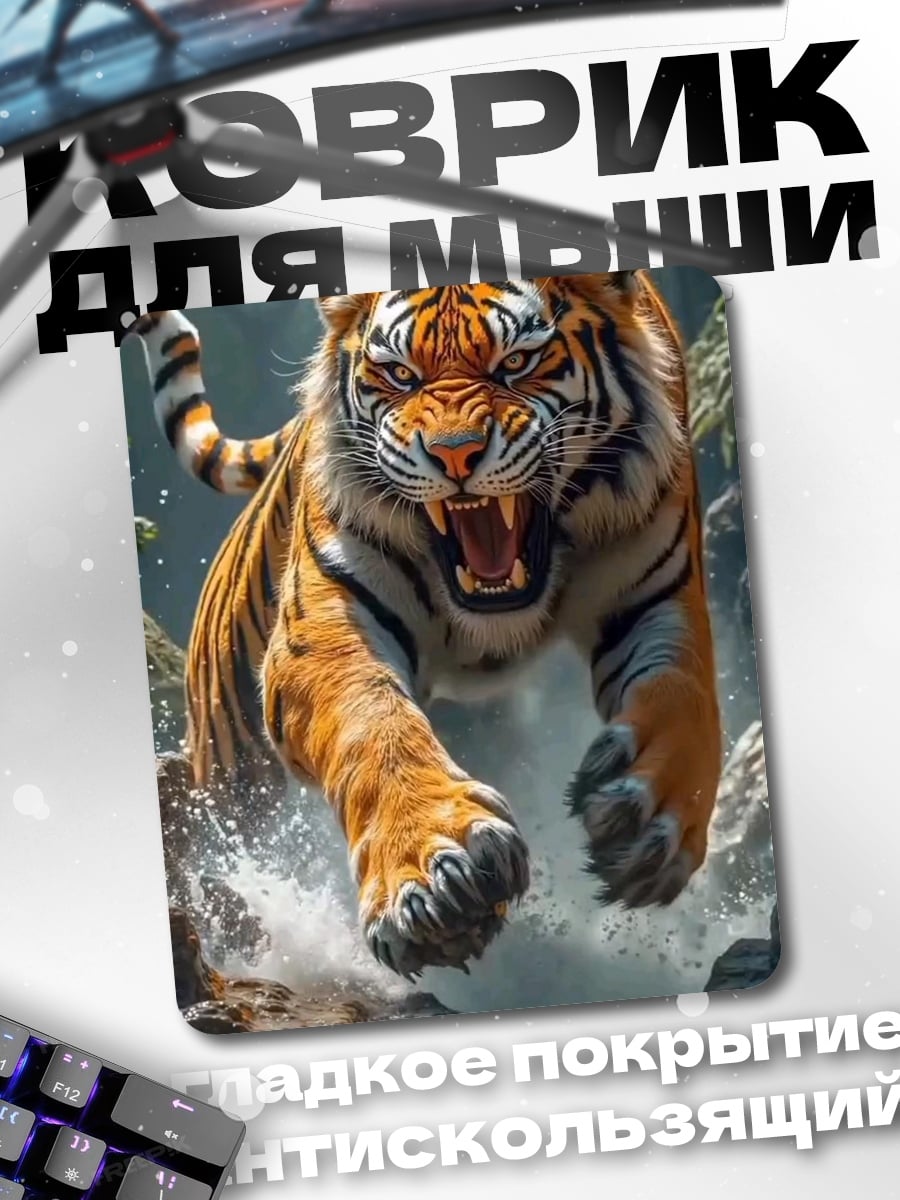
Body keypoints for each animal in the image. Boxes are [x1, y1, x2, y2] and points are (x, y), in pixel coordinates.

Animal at [129, 270, 723, 979]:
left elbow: (683, 696)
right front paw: (436, 873)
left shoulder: (661, 595)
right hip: (233, 758)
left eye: (515, 363)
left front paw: (648, 816)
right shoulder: (324, 624)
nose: (454, 455)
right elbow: (371, 720)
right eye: (399, 374)